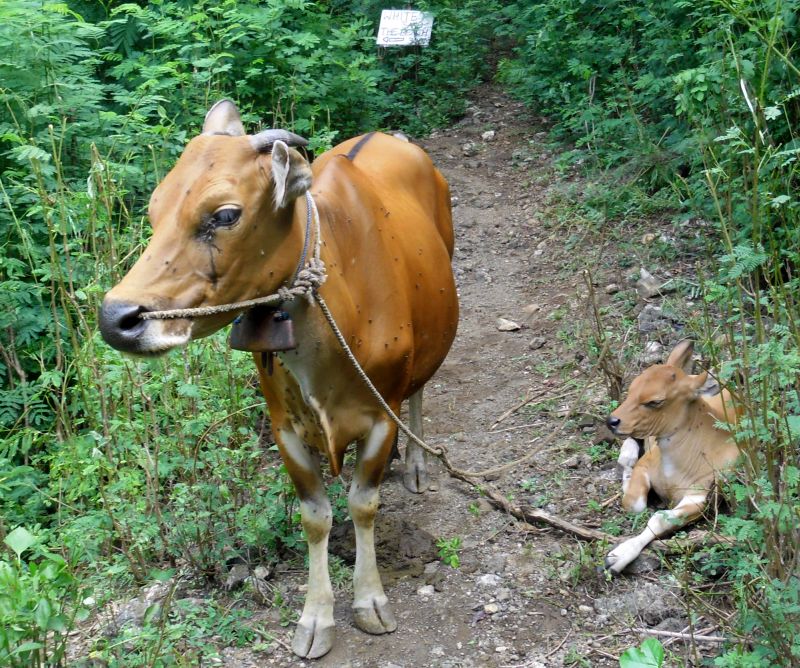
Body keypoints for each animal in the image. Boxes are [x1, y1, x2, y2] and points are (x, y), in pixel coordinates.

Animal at [97, 100, 460, 656]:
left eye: (225, 214)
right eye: (155, 210)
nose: (116, 318)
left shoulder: (380, 414)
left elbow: (363, 503)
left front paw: (370, 601)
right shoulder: (284, 426)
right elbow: (316, 515)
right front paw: (315, 618)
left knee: (419, 390)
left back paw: (418, 464)